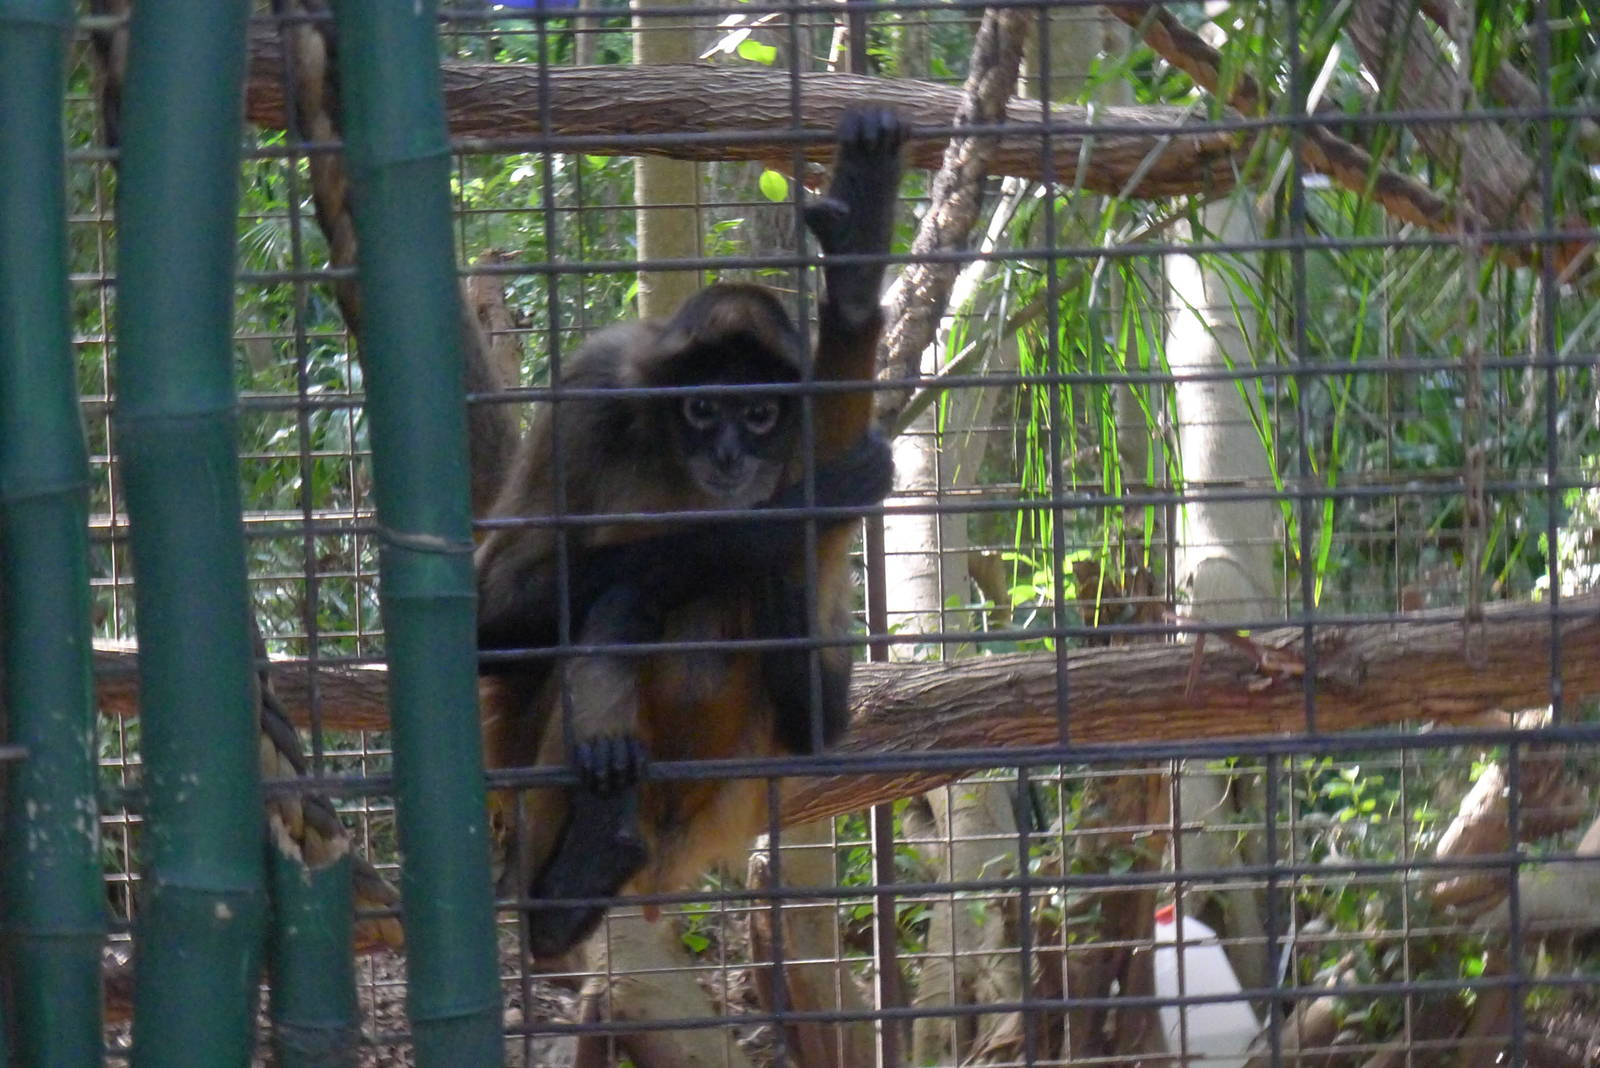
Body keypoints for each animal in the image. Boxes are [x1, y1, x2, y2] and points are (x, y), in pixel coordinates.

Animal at [475, 110, 906, 957]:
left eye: (759, 414)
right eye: (703, 409)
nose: (732, 454)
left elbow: (823, 722)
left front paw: (852, 288)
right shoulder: (593, 392)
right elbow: (488, 610)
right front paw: (754, 533)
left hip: (733, 786)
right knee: (612, 613)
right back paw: (574, 880)